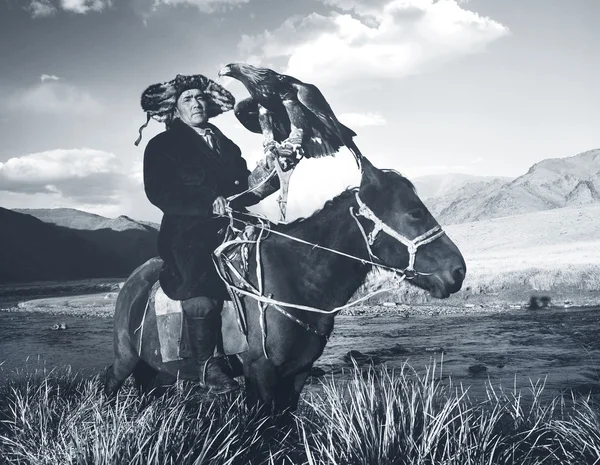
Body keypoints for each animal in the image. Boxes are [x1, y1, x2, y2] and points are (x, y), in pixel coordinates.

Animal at [105, 158, 466, 416]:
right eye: (415, 212)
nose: (458, 271)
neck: (298, 279)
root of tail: (132, 284)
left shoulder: (297, 373)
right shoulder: (260, 373)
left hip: (157, 369)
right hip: (126, 357)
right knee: (110, 381)